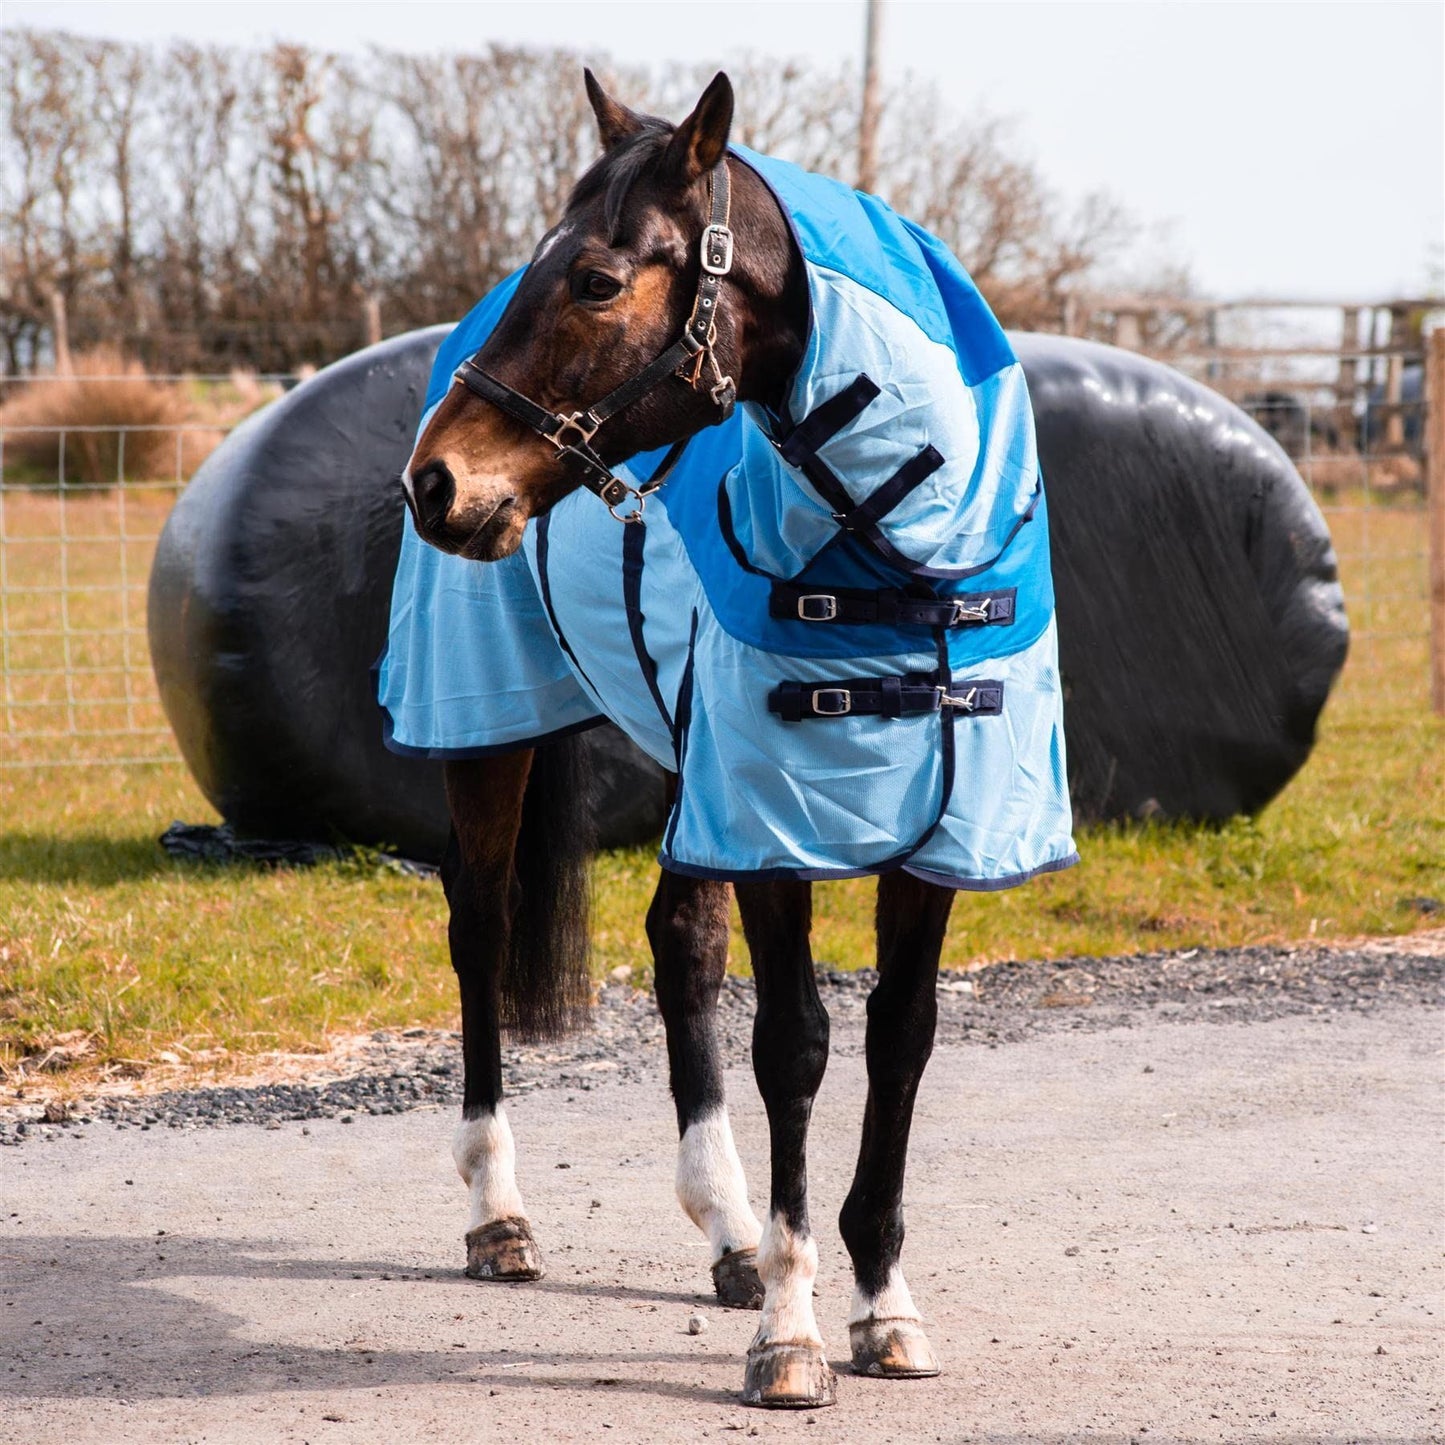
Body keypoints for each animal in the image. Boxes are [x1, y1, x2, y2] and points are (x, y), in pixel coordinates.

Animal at [396, 69, 1074, 1410]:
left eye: (596, 278)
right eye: (545, 264)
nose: (435, 482)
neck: (903, 558)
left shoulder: (929, 836)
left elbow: (899, 1039)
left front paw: (879, 1302)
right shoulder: (772, 824)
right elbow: (796, 1044)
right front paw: (792, 1328)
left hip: (685, 752)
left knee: (679, 941)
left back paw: (727, 1228)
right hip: (490, 731)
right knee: (480, 929)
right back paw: (499, 1214)